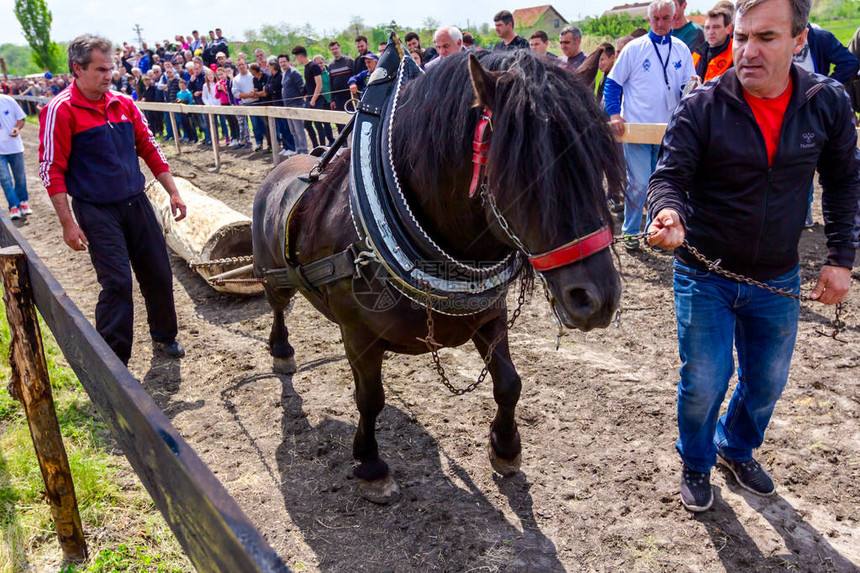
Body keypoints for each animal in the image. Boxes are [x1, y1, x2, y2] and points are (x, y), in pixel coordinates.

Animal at [252, 51, 620, 502]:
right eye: (525, 170)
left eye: (596, 163)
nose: (597, 299)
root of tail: (280, 166)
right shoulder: (357, 333)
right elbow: (369, 398)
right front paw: (371, 465)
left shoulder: (490, 317)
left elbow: (509, 383)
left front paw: (506, 448)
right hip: (271, 276)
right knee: (277, 307)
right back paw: (282, 353)